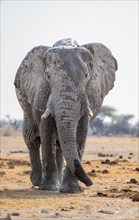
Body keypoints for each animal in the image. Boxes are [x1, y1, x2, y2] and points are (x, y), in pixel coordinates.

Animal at [14, 37, 117, 192]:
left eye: (86, 75)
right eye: (48, 76)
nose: (90, 184)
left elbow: (81, 131)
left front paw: (70, 190)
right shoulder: (41, 90)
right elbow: (46, 129)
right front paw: (48, 188)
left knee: (58, 145)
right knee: (31, 139)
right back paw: (37, 181)